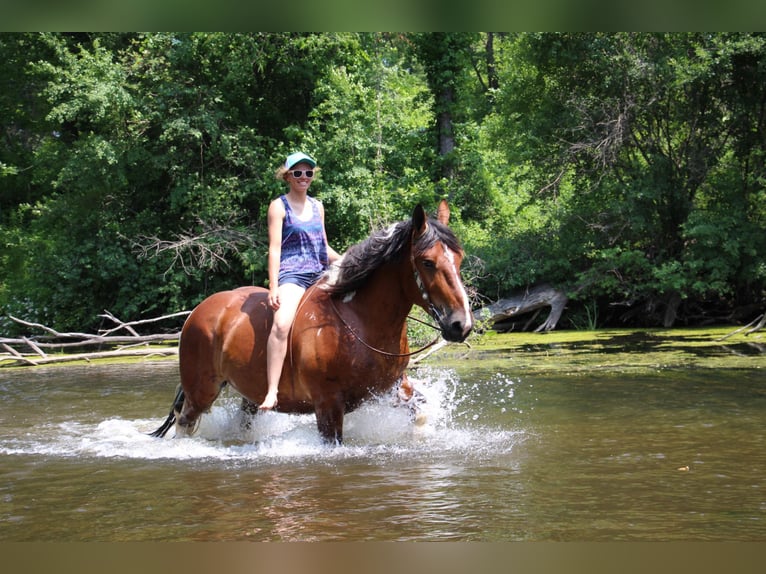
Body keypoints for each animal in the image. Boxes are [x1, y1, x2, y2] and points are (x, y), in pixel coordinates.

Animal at [148, 201, 474, 446]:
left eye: (459, 258)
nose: (462, 324)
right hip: (201, 391)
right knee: (185, 423)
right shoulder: (328, 406)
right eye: (428, 262)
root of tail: (198, 312)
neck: (359, 323)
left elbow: (419, 414)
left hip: (248, 398)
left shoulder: (390, 389)